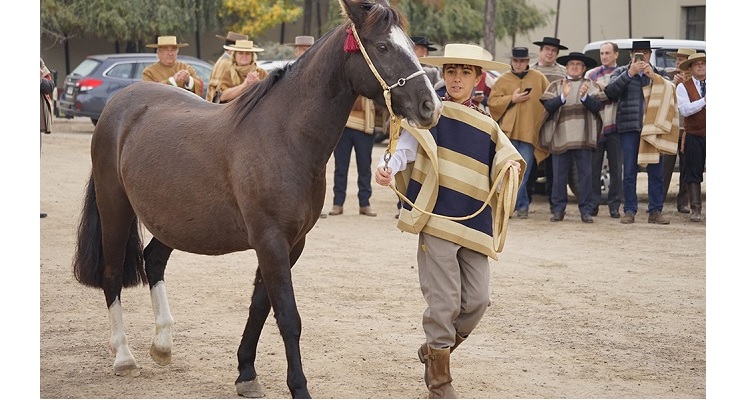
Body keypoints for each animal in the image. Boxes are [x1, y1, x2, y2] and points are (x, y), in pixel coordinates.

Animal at [70, 0, 440, 396]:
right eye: (383, 47)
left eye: (408, 44)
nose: (430, 106)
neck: (285, 136)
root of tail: (120, 103)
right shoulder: (270, 240)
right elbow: (288, 317)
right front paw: (299, 387)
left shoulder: (291, 244)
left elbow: (260, 307)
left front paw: (246, 372)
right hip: (115, 209)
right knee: (111, 275)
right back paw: (124, 356)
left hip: (173, 221)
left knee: (153, 260)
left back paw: (163, 345)